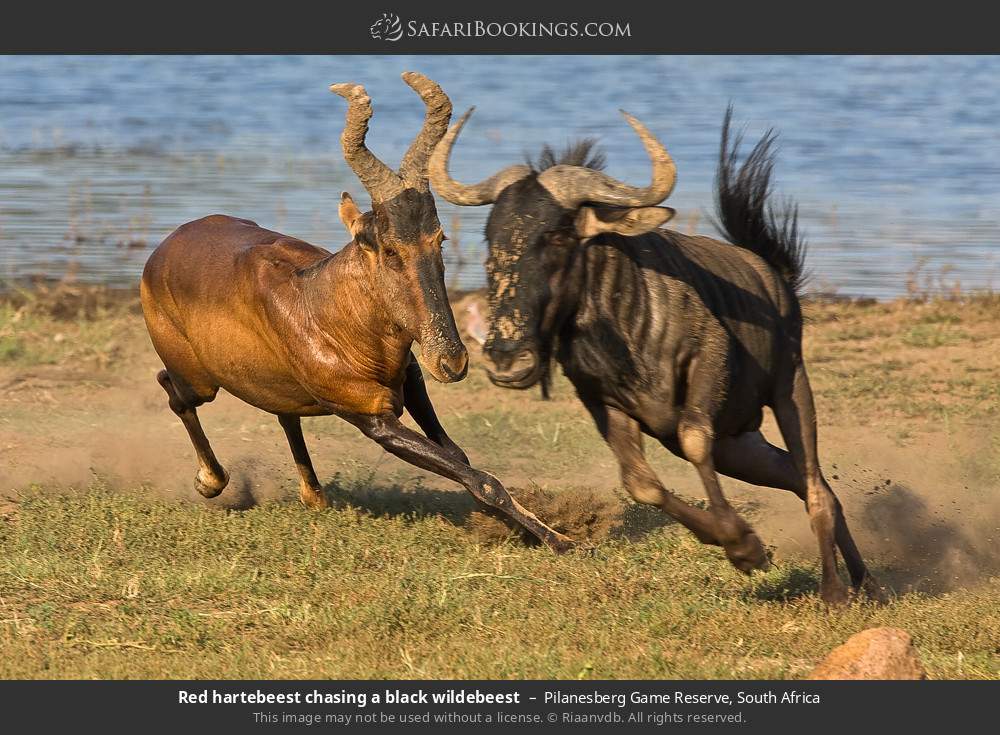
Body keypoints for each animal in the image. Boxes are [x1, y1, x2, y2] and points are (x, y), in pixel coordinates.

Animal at [140, 73, 574, 553]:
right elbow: (479, 478)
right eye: (388, 248)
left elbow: (460, 459)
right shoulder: (374, 417)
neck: (321, 302)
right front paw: (560, 540)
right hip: (200, 380)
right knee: (173, 389)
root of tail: (164, 248)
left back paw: (313, 494)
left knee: (283, 411)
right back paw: (211, 481)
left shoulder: (412, 382)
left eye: (439, 238)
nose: (452, 361)